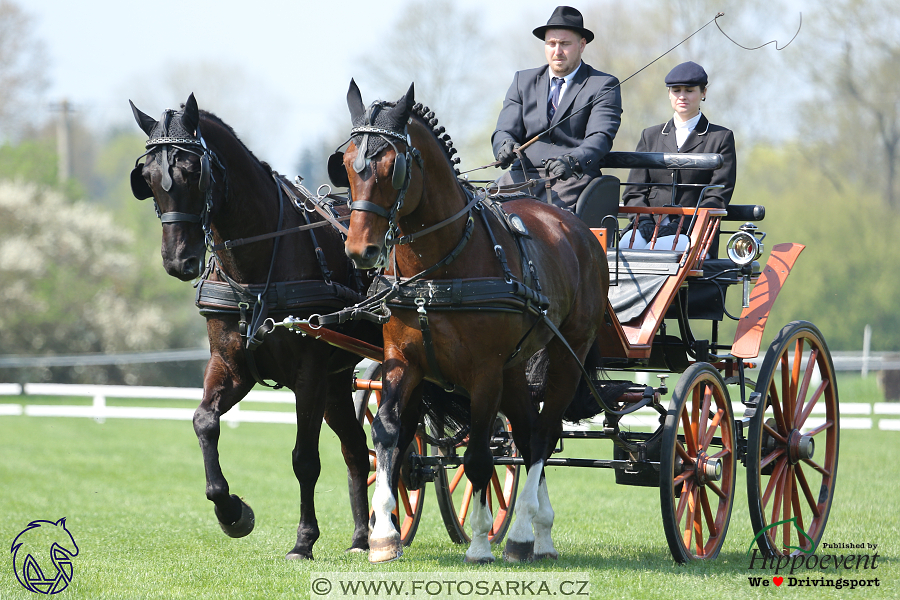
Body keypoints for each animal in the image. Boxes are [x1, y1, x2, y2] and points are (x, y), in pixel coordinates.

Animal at [127, 92, 372, 556]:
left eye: (194, 172)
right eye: (146, 177)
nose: (178, 261)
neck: (256, 269)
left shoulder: (309, 374)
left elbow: (304, 459)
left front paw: (303, 540)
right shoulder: (232, 365)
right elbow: (204, 422)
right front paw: (231, 511)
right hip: (337, 382)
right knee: (357, 448)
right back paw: (362, 538)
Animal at [340, 81, 612, 564]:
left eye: (393, 167)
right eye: (347, 164)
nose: (361, 251)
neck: (437, 268)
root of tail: (578, 229)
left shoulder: (484, 373)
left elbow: (480, 458)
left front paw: (482, 541)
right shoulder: (402, 360)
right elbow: (387, 433)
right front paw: (384, 535)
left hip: (566, 354)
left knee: (543, 435)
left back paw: (521, 534)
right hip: (515, 367)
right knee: (526, 434)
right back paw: (541, 534)